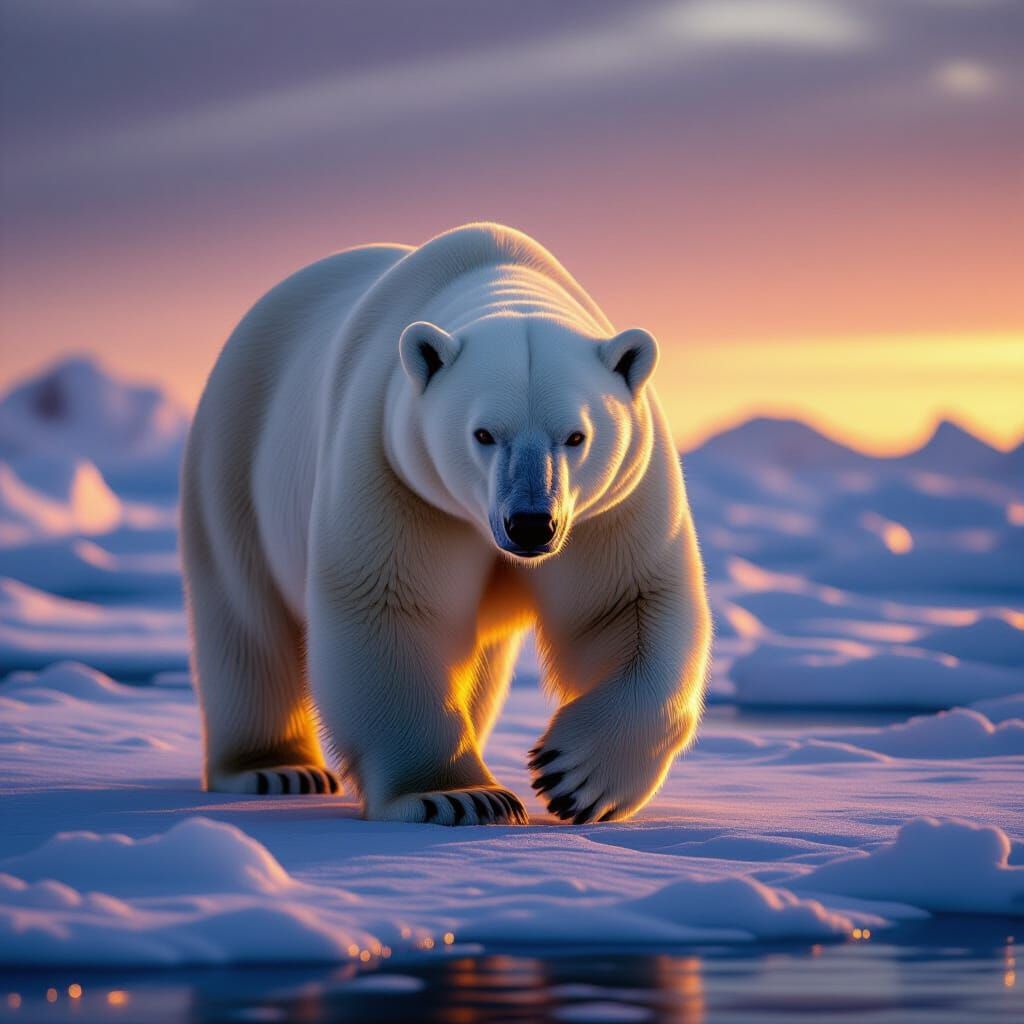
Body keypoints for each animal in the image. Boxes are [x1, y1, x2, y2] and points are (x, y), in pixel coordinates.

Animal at [181, 222, 711, 825]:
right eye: (484, 433)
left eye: (576, 436)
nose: (532, 524)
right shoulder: (397, 474)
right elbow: (393, 609)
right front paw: (459, 796)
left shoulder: (614, 503)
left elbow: (627, 605)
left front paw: (576, 778)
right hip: (236, 451)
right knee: (247, 620)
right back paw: (277, 769)